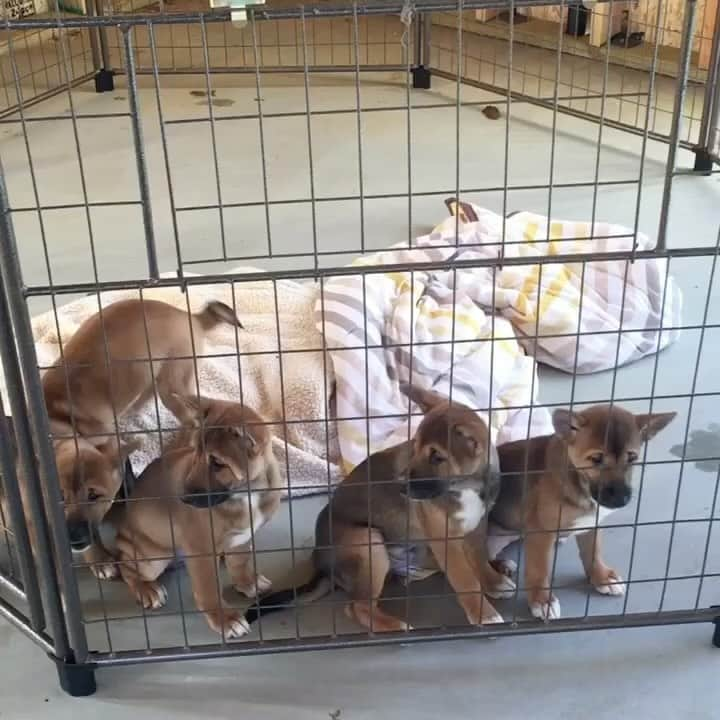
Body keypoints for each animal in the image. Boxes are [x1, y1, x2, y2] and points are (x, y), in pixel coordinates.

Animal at [42, 298, 242, 580]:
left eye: (93, 494)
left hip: (172, 384)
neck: (58, 417)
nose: (73, 537)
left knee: (192, 420)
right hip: (152, 380)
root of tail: (188, 315)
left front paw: (99, 559)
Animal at [114, 396, 282, 640]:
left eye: (218, 463)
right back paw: (146, 589)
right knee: (126, 566)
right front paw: (225, 619)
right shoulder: (201, 549)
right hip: (151, 558)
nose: (183, 499)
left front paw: (247, 582)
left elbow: (239, 562)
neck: (245, 494)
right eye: (195, 452)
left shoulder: (241, 537)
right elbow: (207, 588)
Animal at [246, 386, 512, 632]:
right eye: (415, 448)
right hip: (367, 542)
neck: (466, 486)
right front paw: (485, 615)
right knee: (357, 607)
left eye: (437, 457)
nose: (401, 486)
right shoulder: (444, 540)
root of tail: (321, 564)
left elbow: (477, 557)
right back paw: (395, 625)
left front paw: (492, 581)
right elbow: (465, 579)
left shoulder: (477, 525)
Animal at [486, 404, 676, 620]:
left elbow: (593, 551)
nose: (621, 499)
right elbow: (539, 569)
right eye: (596, 459)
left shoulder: (591, 523)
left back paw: (502, 565)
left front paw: (601, 577)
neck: (577, 480)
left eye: (632, 457)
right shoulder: (540, 532)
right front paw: (541, 601)